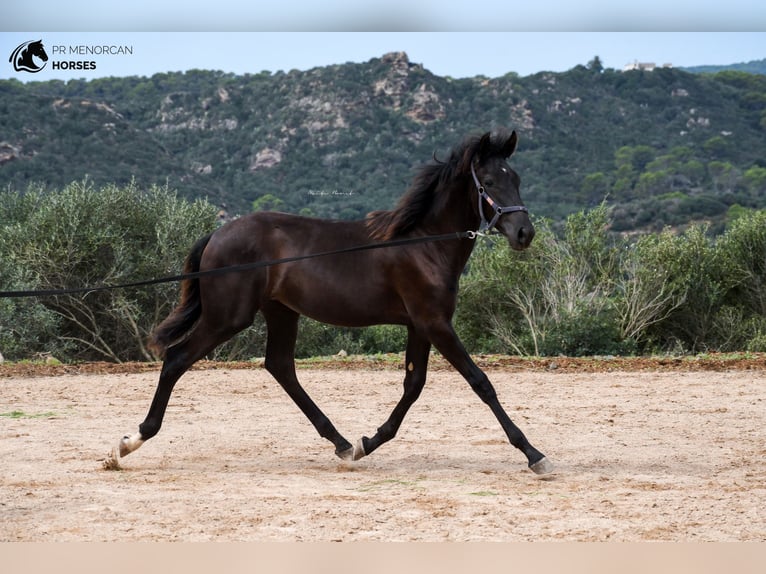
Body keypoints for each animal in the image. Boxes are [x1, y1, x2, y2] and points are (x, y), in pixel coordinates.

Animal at [105, 130, 556, 476]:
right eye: (489, 182)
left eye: (516, 177)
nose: (524, 233)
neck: (423, 244)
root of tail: (217, 234)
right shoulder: (435, 322)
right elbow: (481, 382)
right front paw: (534, 455)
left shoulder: (420, 325)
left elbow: (413, 386)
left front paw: (368, 441)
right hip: (228, 317)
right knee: (177, 359)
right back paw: (130, 442)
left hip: (280, 313)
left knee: (280, 367)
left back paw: (341, 443)